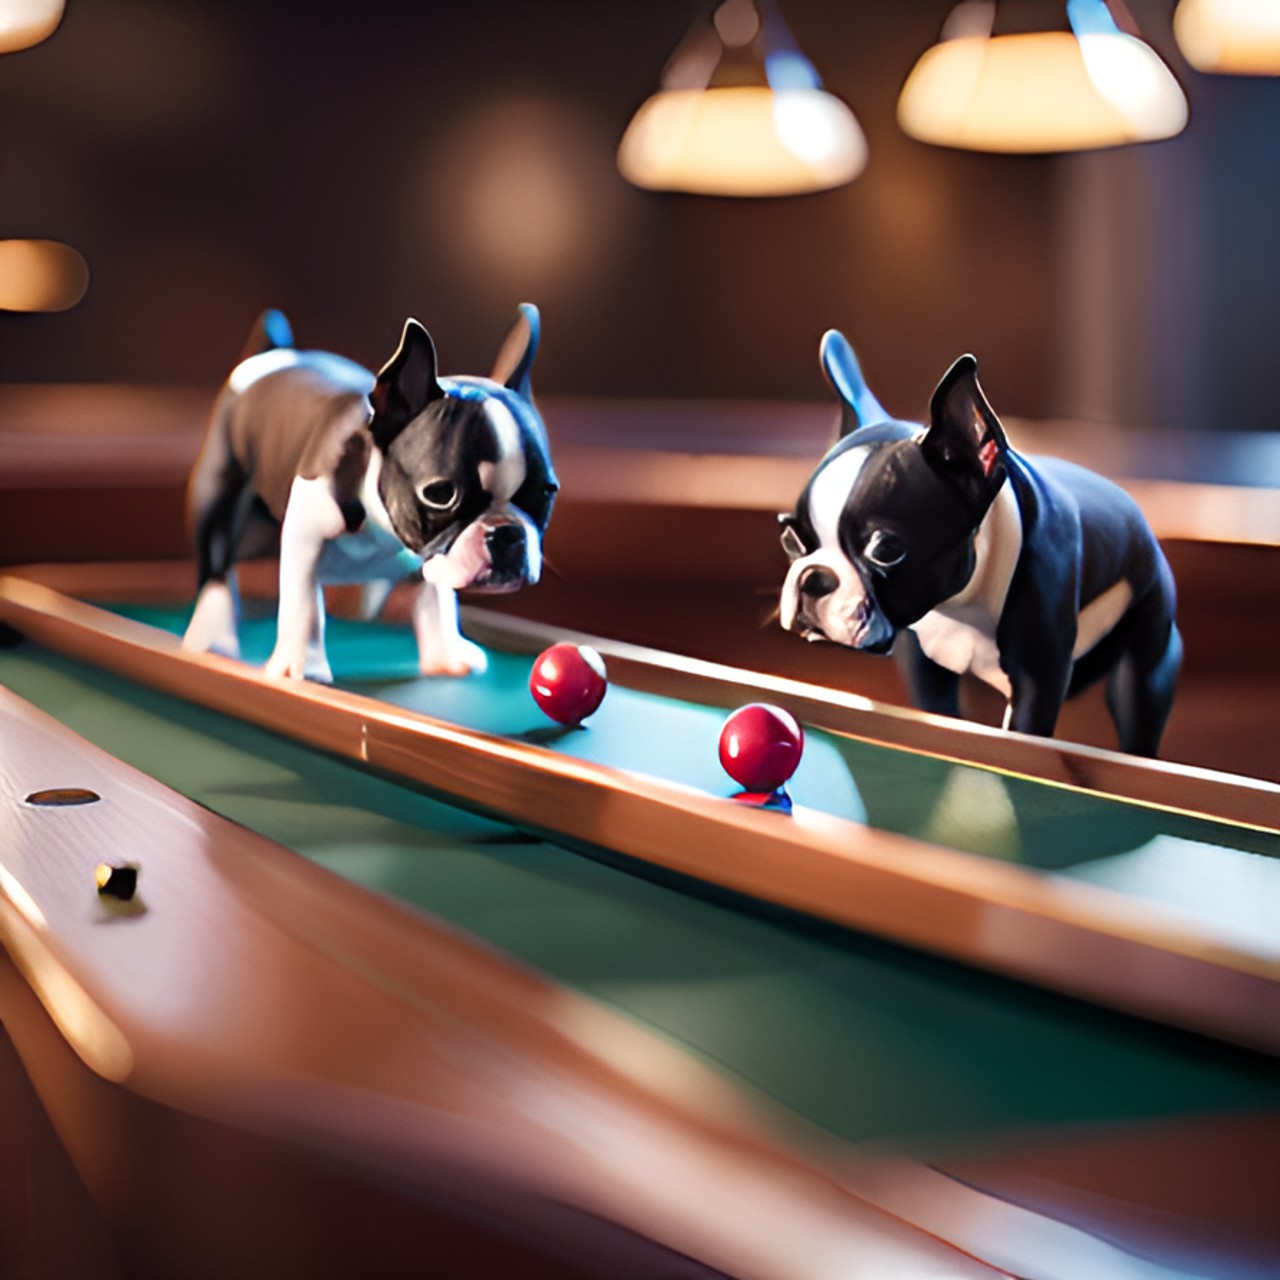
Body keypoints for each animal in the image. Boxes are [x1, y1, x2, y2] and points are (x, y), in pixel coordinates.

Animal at [184, 303, 555, 680]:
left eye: (546, 493)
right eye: (440, 494)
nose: (507, 532)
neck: (384, 529)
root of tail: (276, 353)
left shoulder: (433, 557)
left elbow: (437, 600)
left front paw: (446, 655)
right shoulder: (304, 536)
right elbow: (305, 603)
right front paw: (304, 666)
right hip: (223, 494)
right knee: (217, 564)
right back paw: (214, 635)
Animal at [773, 330, 1182, 752]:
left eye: (885, 549)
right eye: (789, 538)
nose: (813, 577)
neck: (960, 605)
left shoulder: (1038, 680)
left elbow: (1024, 736)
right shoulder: (927, 668)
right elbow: (941, 715)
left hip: (1148, 660)